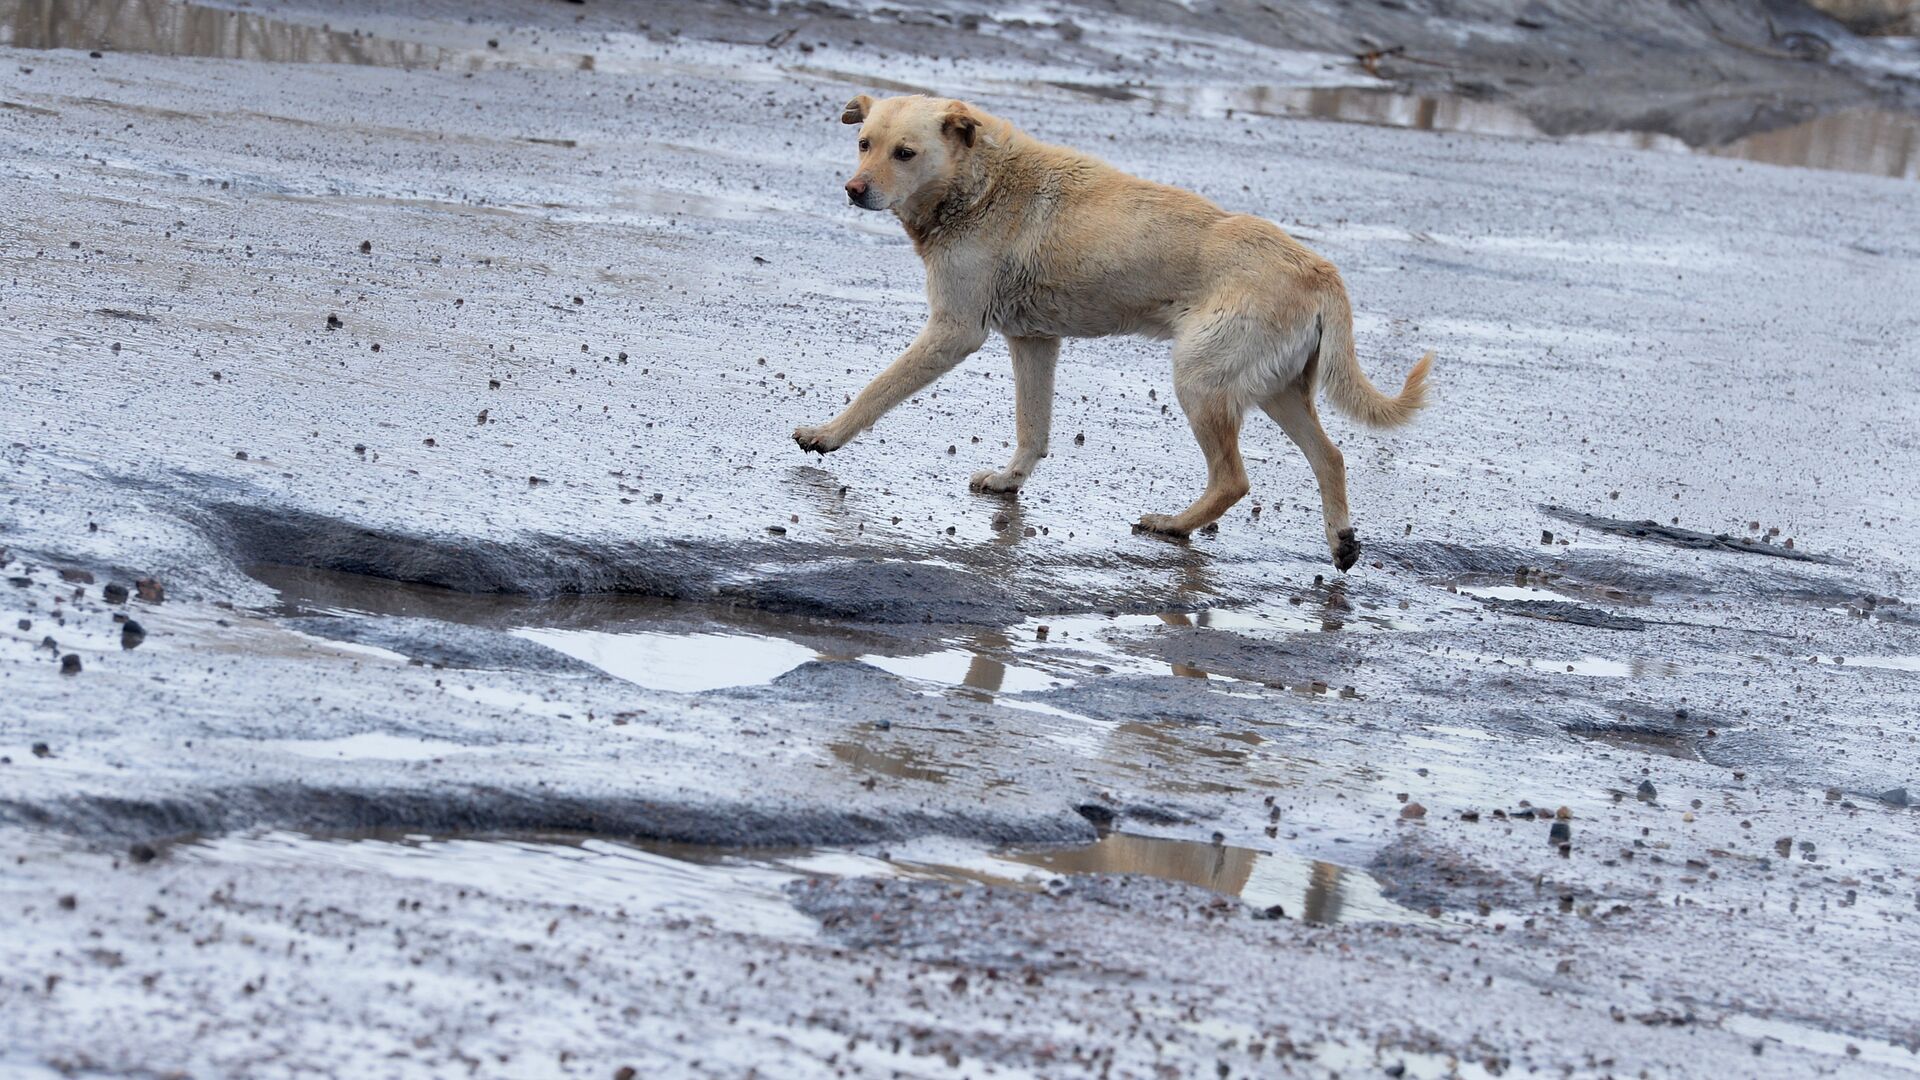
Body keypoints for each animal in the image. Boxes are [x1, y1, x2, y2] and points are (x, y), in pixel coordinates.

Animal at [787, 92, 1436, 568]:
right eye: (864, 144)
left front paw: (827, 434)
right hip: (1275, 390)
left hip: (1200, 382)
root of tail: (1320, 269)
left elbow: (876, 391)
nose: (854, 189)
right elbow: (1033, 431)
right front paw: (1009, 481)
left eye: (905, 152)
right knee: (1332, 457)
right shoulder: (1033, 342)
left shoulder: (953, 331)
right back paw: (1341, 541)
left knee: (1234, 480)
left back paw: (1173, 526)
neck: (982, 183)